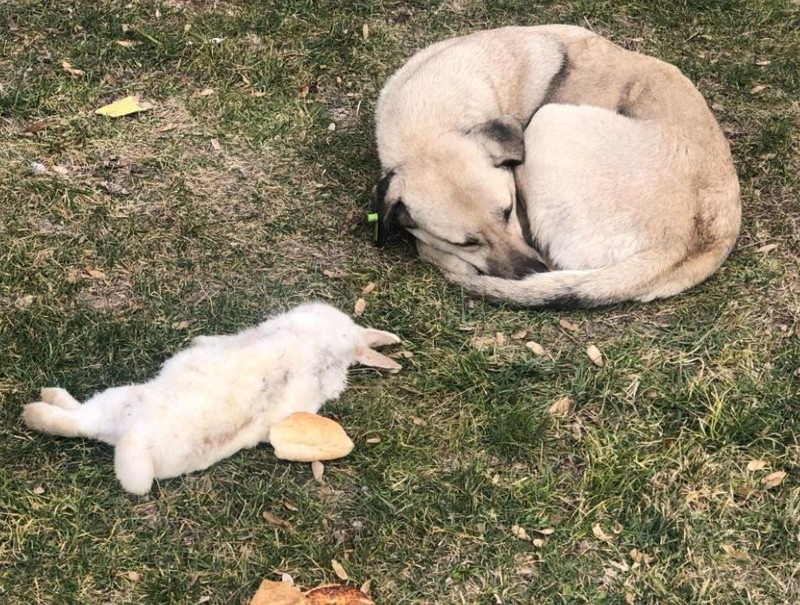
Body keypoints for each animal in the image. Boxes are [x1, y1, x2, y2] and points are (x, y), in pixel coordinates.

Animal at [20, 302, 400, 496]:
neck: (323, 347)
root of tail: (137, 440)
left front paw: (198, 340)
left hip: (118, 400)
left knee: (75, 421)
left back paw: (38, 406)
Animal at [372, 24, 740, 306]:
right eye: (466, 242)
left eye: (508, 211)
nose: (532, 273)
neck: (427, 119)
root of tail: (686, 242)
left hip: (548, 122)